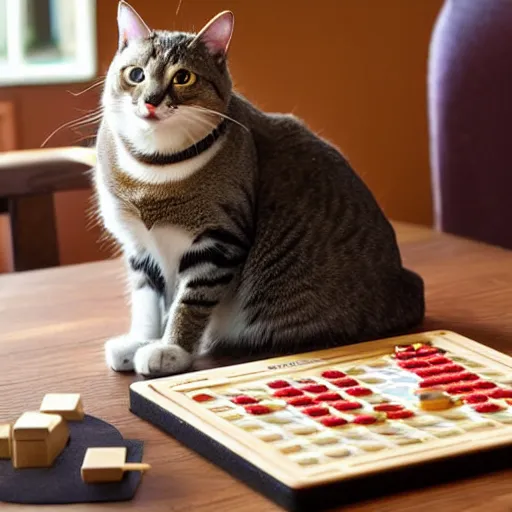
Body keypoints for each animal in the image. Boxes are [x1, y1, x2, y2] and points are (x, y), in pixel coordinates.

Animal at [94, 0, 426, 376]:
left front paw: (170, 349)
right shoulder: (139, 246)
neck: (154, 166)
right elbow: (147, 301)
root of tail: (406, 285)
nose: (150, 101)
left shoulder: (218, 243)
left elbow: (190, 303)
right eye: (135, 75)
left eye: (183, 77)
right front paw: (141, 341)